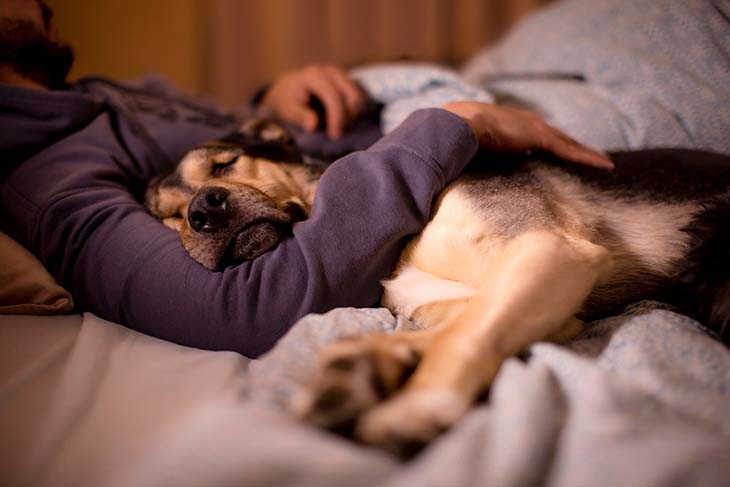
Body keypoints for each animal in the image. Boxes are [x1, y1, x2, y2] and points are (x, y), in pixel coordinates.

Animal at [145, 118, 728, 458]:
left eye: (226, 163)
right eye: (169, 216)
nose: (201, 212)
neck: (400, 243)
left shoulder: (549, 248)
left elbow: (463, 334)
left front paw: (416, 403)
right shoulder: (553, 303)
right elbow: (458, 323)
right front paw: (367, 364)